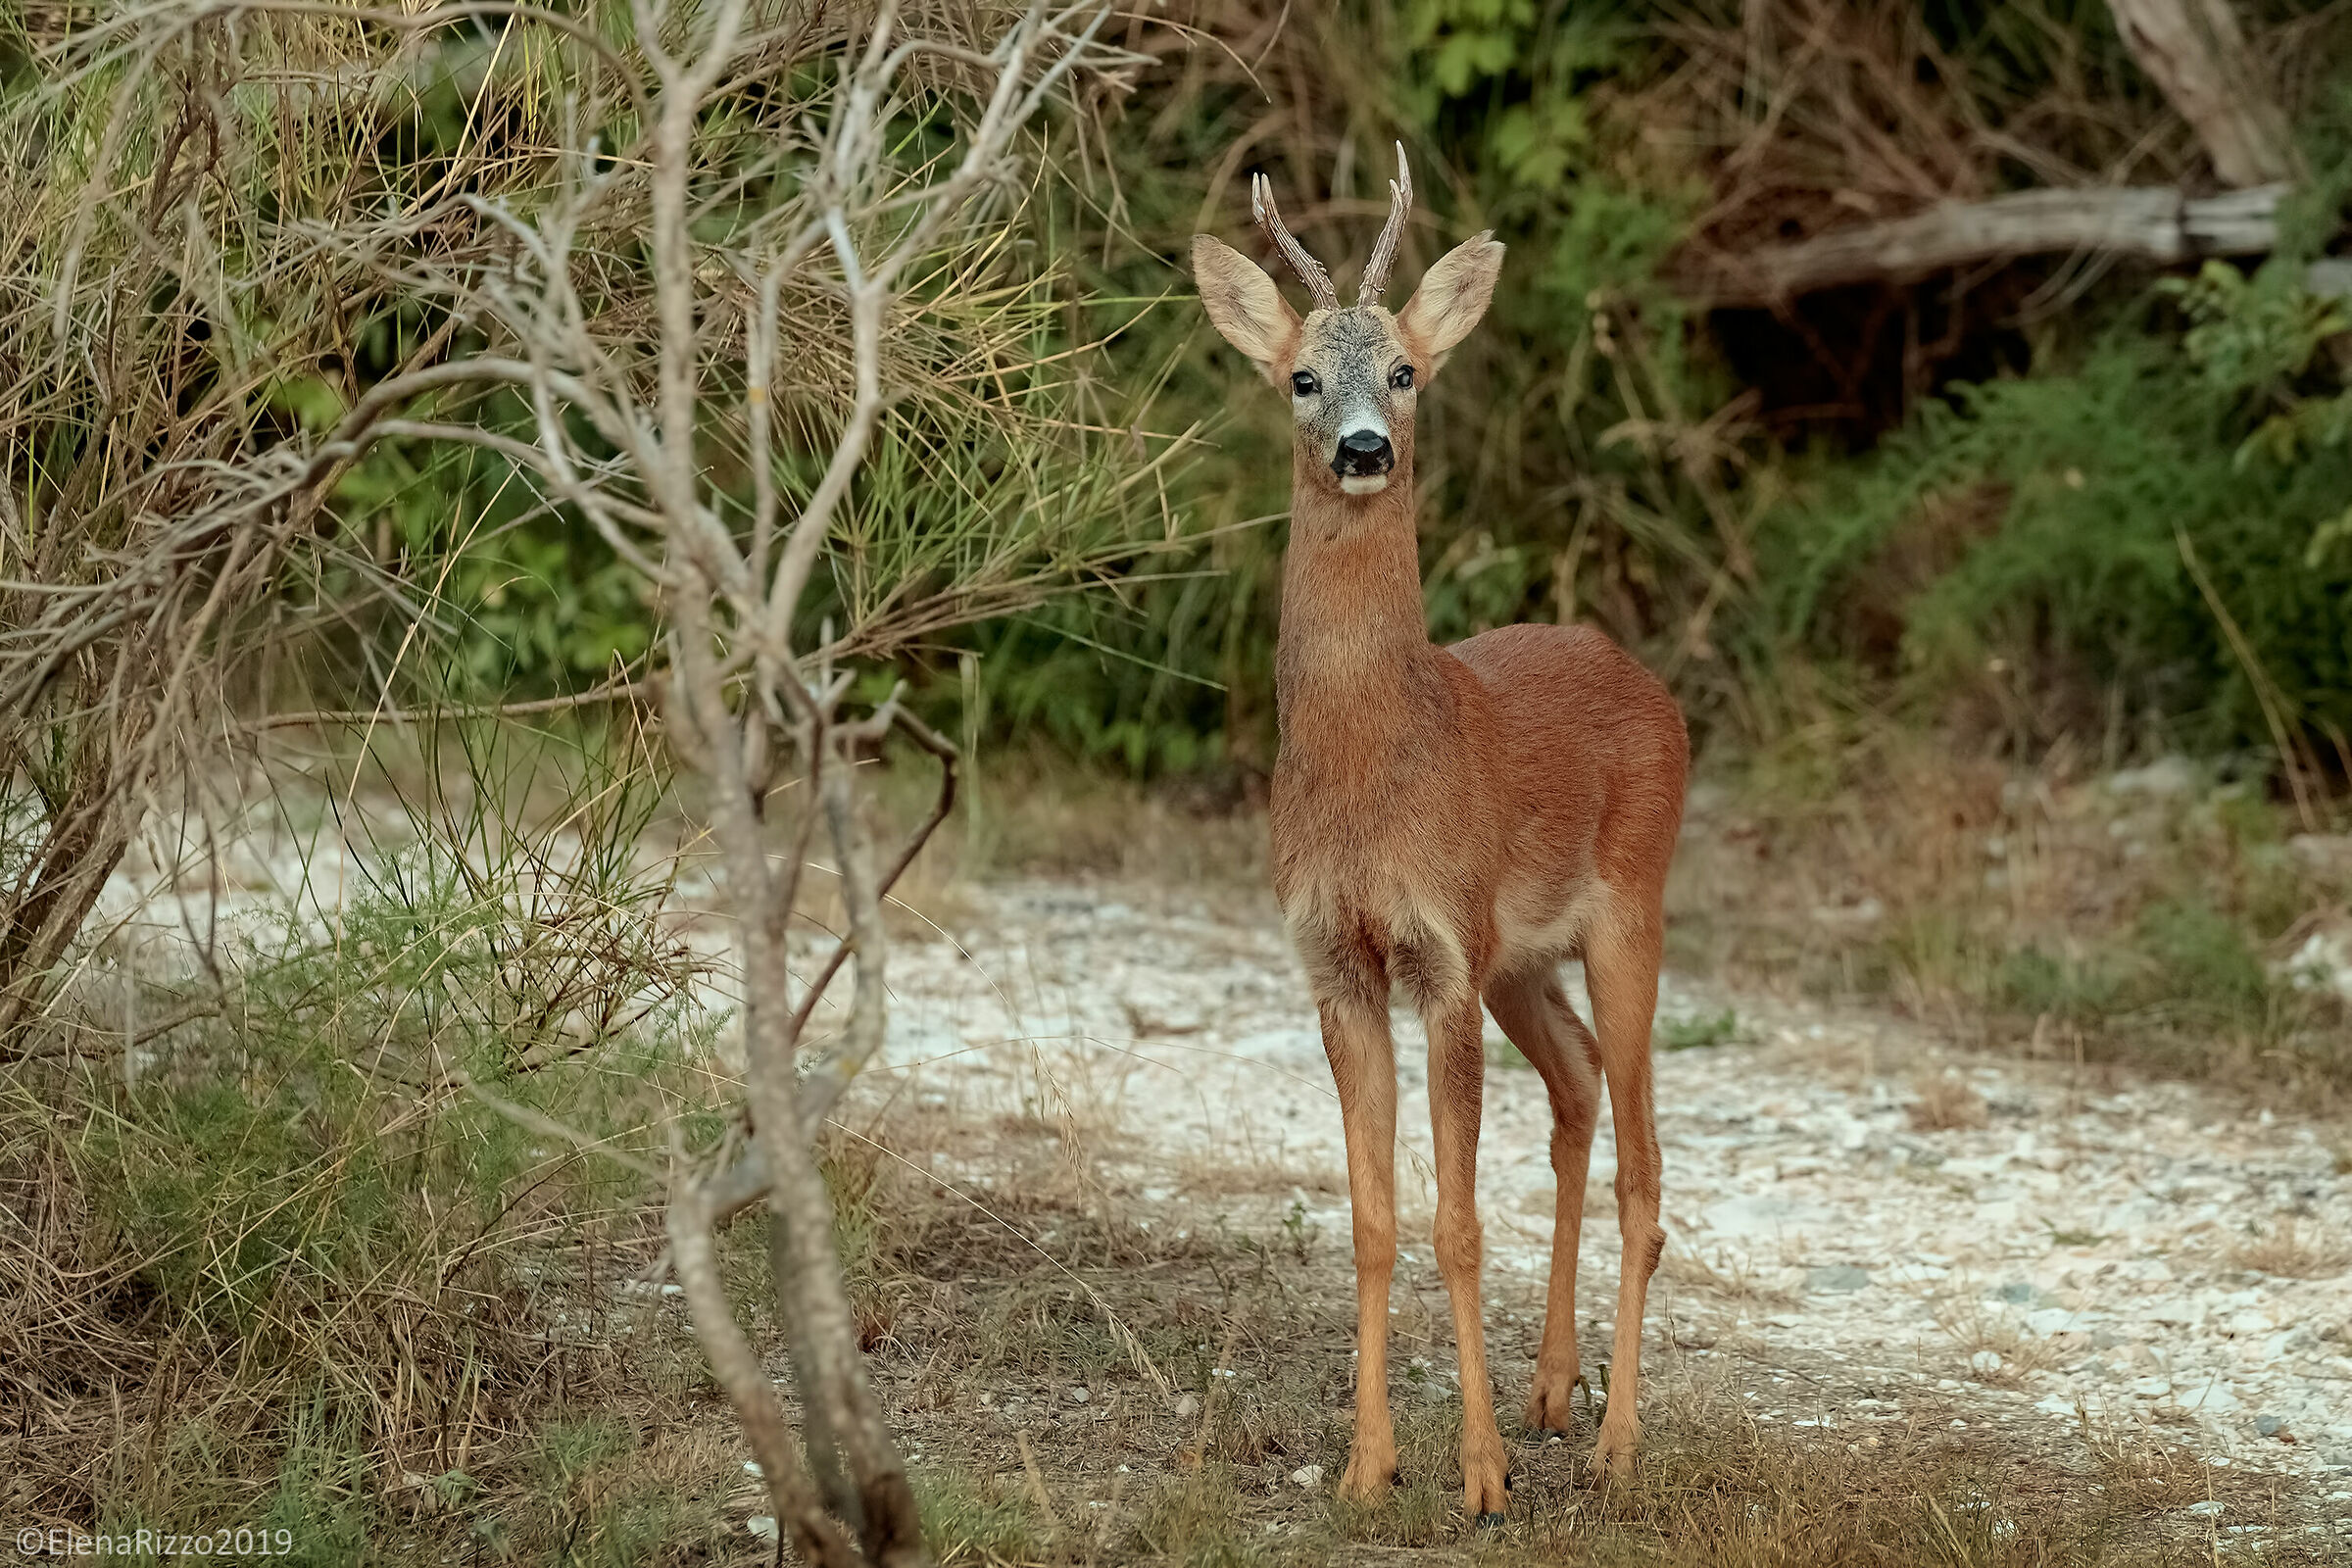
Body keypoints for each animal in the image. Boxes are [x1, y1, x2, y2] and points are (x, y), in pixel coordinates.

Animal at [1191, 149, 1688, 1522]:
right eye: (1302, 376)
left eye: (1407, 369)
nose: (1364, 447)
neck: (1376, 765)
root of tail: (1652, 684)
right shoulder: (1342, 962)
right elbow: (1372, 1217)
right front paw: (1371, 1465)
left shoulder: (1443, 959)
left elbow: (1459, 1219)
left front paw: (1478, 1475)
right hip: (1525, 959)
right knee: (1579, 1087)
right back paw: (1552, 1391)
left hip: (1631, 911)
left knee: (1644, 1168)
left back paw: (1616, 1445)